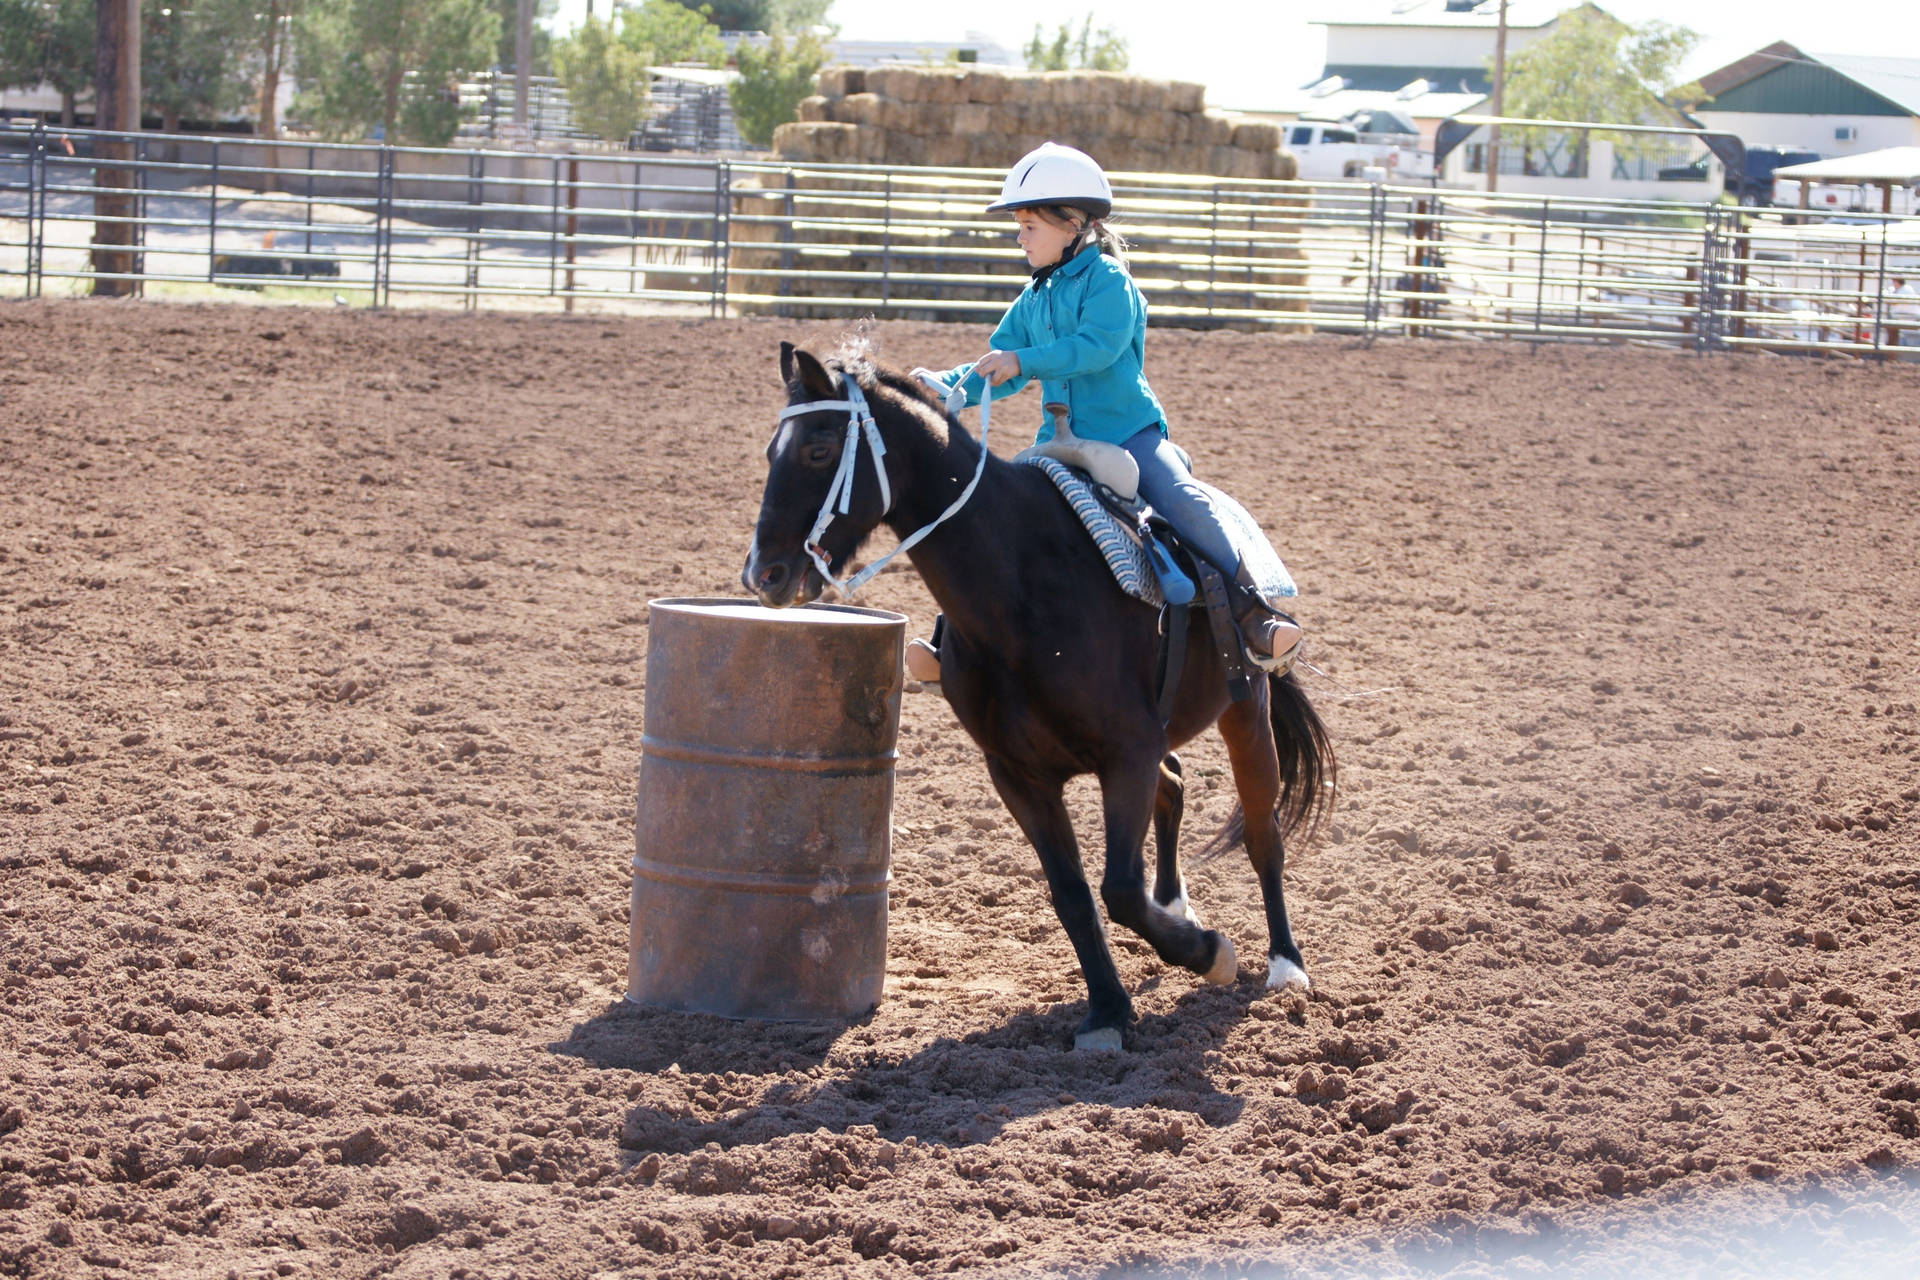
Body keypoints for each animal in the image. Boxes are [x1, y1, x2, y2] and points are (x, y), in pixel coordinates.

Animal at [741, 343, 1328, 1051]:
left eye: (820, 450)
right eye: (771, 450)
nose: (764, 575)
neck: (1020, 591)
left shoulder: (1126, 755)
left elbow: (1118, 888)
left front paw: (1211, 954)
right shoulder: (1019, 773)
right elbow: (1073, 892)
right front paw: (1108, 1011)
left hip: (1246, 708)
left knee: (1263, 831)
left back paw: (1285, 964)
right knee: (1176, 784)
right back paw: (1177, 906)